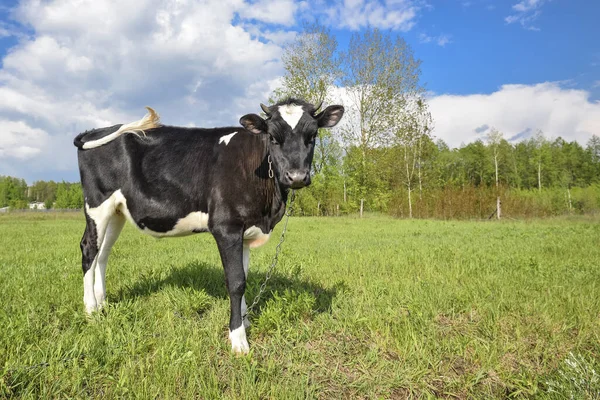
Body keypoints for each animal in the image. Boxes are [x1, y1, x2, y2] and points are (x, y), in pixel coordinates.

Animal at [75, 99, 344, 354]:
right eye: (273, 137)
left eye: (313, 136)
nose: (296, 176)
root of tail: (96, 130)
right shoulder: (227, 227)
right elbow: (236, 282)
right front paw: (238, 338)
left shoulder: (246, 231)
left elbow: (244, 276)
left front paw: (245, 320)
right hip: (97, 203)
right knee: (89, 249)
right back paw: (90, 309)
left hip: (117, 211)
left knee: (103, 253)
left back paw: (102, 303)